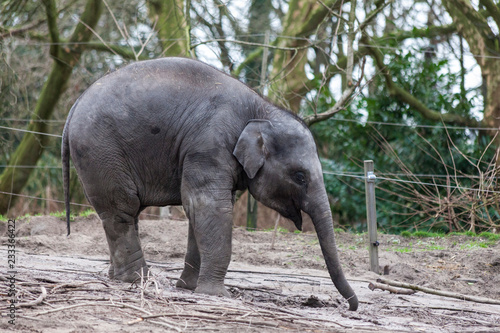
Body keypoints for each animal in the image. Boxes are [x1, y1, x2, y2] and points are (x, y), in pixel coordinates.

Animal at [61, 56, 360, 308]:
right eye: (300, 176)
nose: (351, 306)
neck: (261, 108)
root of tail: (74, 105)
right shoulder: (208, 146)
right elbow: (209, 206)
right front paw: (217, 295)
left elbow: (201, 211)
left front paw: (189, 288)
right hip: (101, 151)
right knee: (121, 209)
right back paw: (138, 280)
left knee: (124, 212)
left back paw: (119, 277)